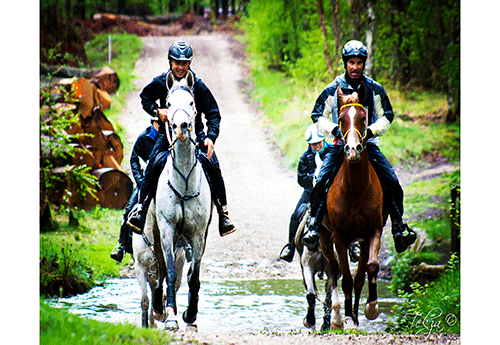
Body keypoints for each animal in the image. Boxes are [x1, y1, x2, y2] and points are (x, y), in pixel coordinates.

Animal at [318, 83, 384, 328]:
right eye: (341, 119)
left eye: (364, 118)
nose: (353, 149)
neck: (355, 189)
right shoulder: (339, 236)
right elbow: (344, 277)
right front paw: (344, 317)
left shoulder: (372, 232)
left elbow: (368, 270)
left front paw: (369, 309)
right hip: (324, 236)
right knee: (333, 270)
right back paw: (338, 315)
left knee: (358, 276)